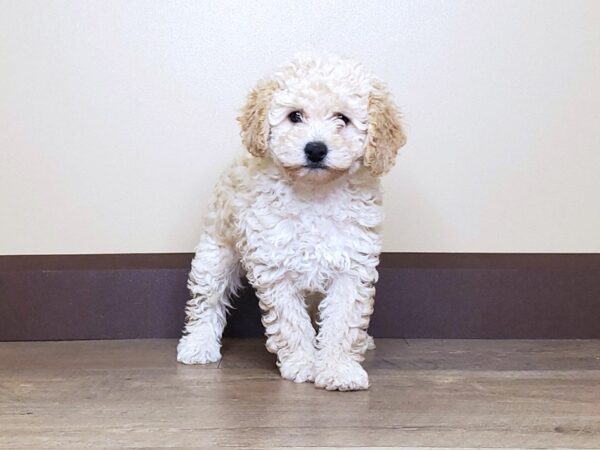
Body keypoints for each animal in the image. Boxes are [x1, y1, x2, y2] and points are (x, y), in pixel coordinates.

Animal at [176, 53, 406, 390]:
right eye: (295, 116)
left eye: (342, 119)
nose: (315, 148)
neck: (315, 195)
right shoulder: (276, 267)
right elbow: (290, 322)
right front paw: (304, 363)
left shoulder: (351, 264)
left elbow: (343, 320)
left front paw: (338, 368)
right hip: (216, 251)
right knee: (207, 299)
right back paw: (198, 344)